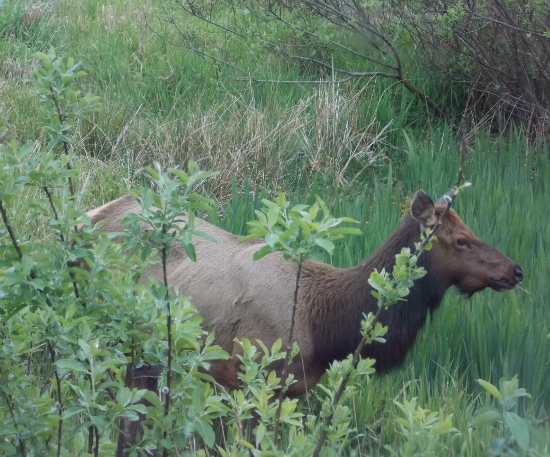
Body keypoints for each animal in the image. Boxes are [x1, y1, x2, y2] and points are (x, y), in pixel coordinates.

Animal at [86, 189, 528, 396]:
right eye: (461, 240)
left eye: (470, 229)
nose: (516, 270)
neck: (328, 329)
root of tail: (91, 214)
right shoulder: (254, 378)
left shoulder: (295, 391)